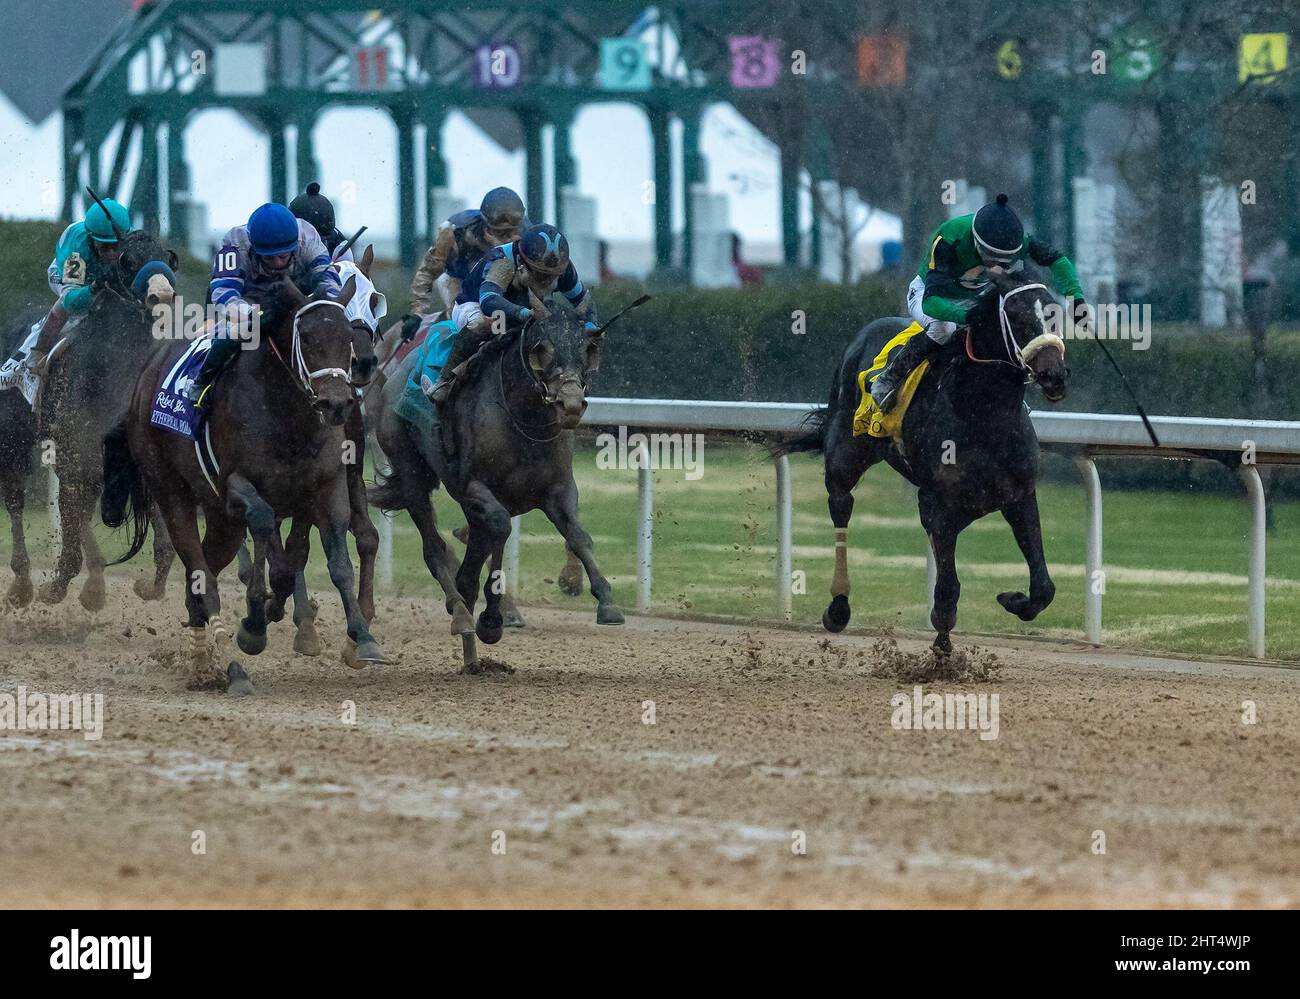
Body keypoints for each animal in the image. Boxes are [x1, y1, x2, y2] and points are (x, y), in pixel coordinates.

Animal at [104, 277, 382, 692]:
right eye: (306, 337)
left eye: (347, 336)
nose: (336, 404)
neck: (287, 417)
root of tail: (144, 378)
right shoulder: (236, 486)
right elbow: (267, 534)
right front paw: (253, 627)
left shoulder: (328, 487)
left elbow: (337, 563)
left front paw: (363, 637)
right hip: (173, 494)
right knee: (201, 572)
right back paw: (226, 658)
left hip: (222, 519)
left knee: (200, 577)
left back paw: (205, 662)